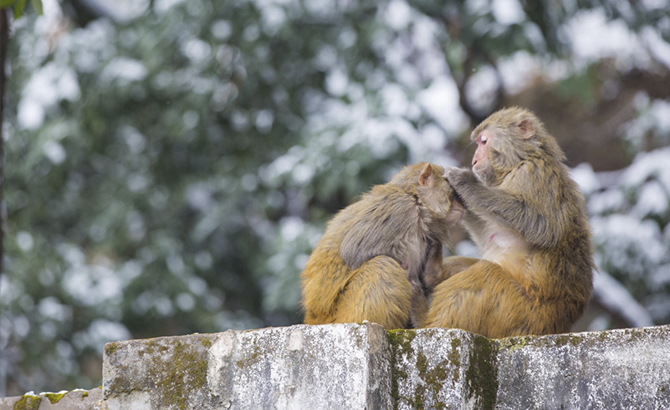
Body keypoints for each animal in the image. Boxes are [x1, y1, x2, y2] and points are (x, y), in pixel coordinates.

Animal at [302, 162, 464, 328]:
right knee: (382, 264)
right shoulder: (400, 209)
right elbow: (352, 252)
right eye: (453, 192)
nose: (462, 205)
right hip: (342, 315)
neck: (416, 199)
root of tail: (315, 319)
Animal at [428, 107, 596, 338]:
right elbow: (488, 237)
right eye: (478, 143)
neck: (518, 162)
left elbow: (543, 227)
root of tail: (556, 326)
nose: (474, 160)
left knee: (484, 276)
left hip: (521, 314)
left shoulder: (535, 173)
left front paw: (464, 181)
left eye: (484, 141)